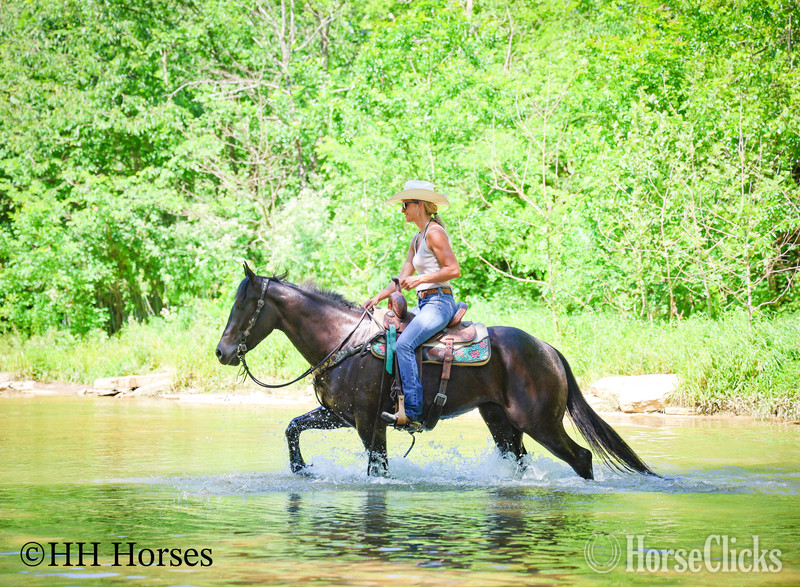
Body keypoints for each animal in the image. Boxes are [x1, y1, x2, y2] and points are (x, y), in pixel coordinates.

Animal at [215, 264, 655, 479]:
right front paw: (302, 470)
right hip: (502, 423)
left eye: (243, 305)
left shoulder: (368, 422)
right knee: (519, 461)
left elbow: (378, 469)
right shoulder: (341, 415)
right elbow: (292, 427)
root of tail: (548, 350)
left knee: (581, 458)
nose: (222, 352)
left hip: (541, 422)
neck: (342, 341)